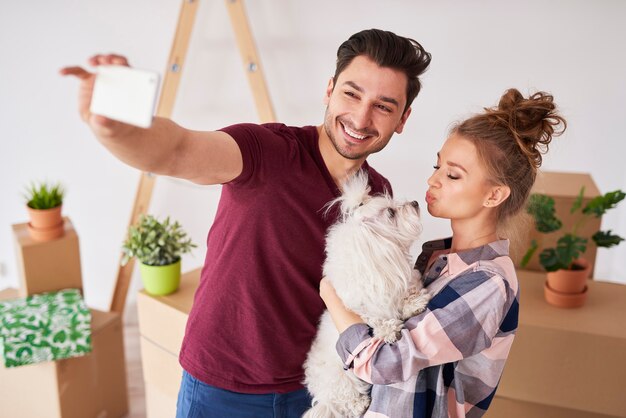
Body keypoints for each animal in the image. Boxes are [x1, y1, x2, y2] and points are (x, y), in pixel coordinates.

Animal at [302, 171, 428, 418]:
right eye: (390, 212)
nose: (415, 203)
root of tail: (323, 397)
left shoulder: (404, 278)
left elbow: (408, 290)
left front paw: (414, 303)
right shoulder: (358, 304)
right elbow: (373, 316)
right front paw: (388, 330)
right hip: (340, 379)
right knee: (345, 396)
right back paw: (358, 403)